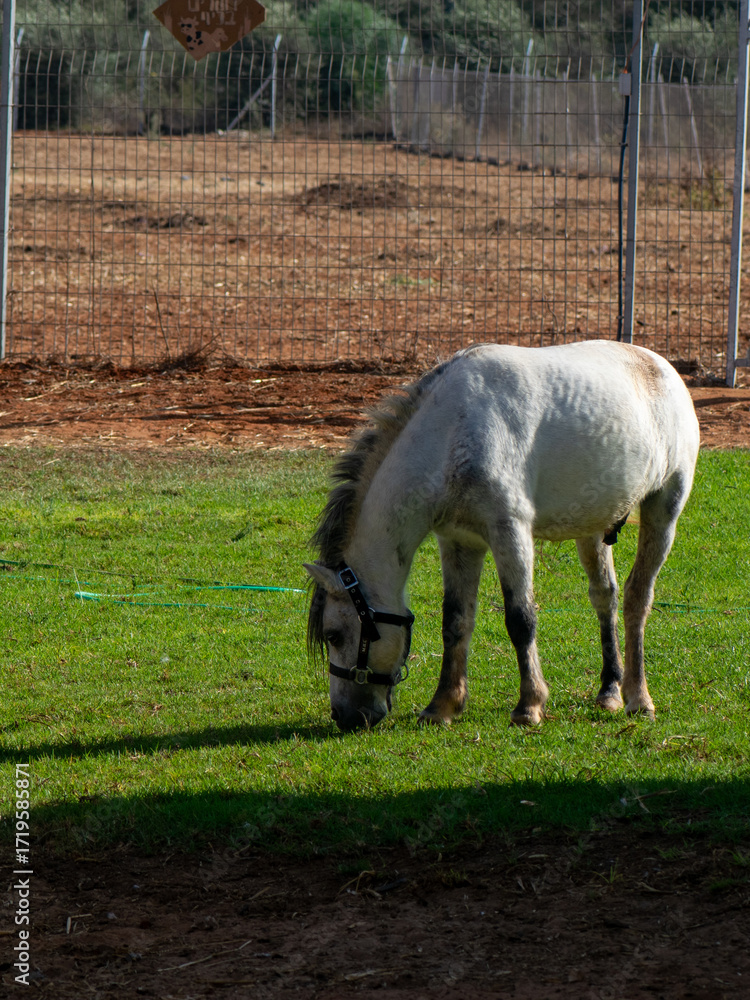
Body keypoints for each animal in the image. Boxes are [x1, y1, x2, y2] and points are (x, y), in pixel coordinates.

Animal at [305, 340, 700, 732]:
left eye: (334, 635)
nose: (345, 716)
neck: (453, 432)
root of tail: (662, 366)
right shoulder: (458, 542)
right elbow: (455, 621)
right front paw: (442, 705)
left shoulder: (510, 531)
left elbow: (520, 619)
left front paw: (529, 705)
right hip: (591, 525)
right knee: (606, 597)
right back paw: (609, 691)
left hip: (664, 511)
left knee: (637, 599)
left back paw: (639, 698)